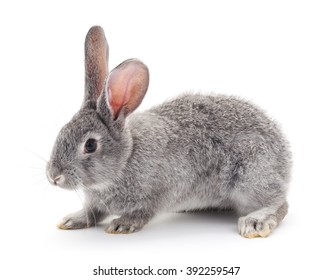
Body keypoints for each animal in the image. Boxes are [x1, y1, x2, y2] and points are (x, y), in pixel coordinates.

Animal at [46, 25, 290, 237]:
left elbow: (144, 212)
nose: (53, 176)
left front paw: (123, 224)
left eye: (90, 145)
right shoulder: (97, 202)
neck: (126, 158)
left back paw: (257, 222)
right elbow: (93, 212)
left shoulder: (162, 191)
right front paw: (73, 219)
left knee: (279, 202)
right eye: (62, 131)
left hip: (250, 177)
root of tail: (285, 160)